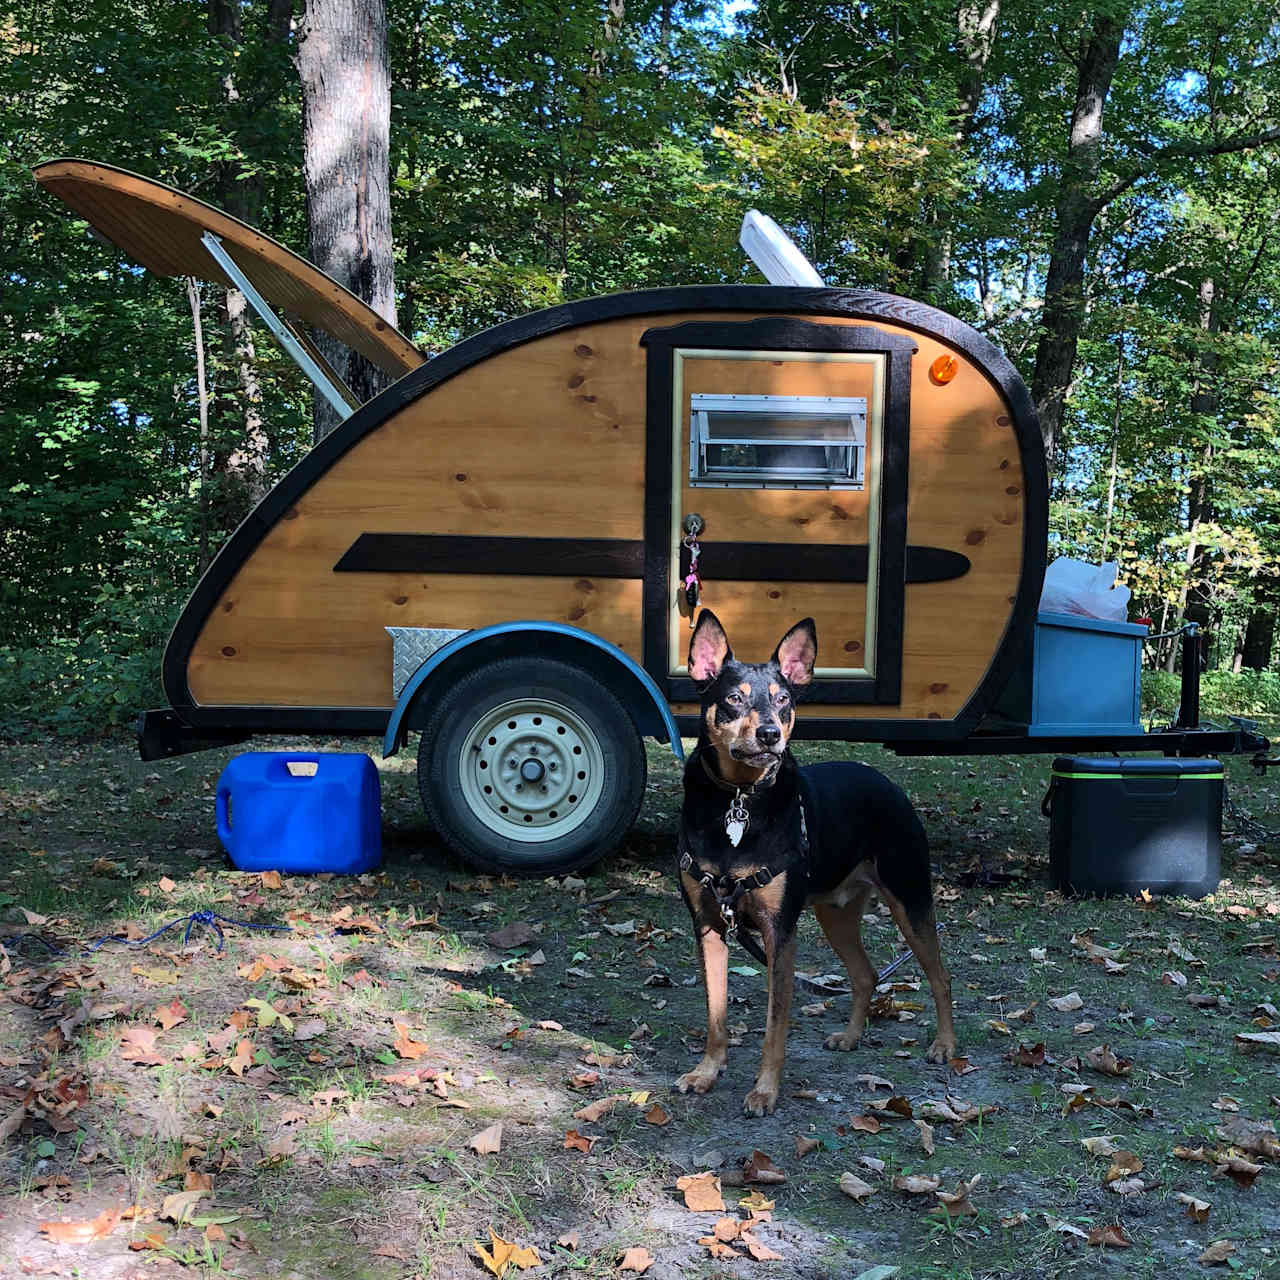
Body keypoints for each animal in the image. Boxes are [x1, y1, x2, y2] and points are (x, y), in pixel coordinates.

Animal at [675, 604, 957, 1116]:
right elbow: (715, 1013)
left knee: (940, 976)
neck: (739, 803)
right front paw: (706, 1073)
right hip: (836, 914)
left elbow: (775, 1026)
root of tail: (886, 782)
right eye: (733, 699)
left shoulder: (779, 931)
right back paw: (850, 1037)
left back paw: (945, 1045)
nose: (769, 734)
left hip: (910, 900)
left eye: (784, 699)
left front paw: (764, 1091)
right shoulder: (708, 922)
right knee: (865, 975)